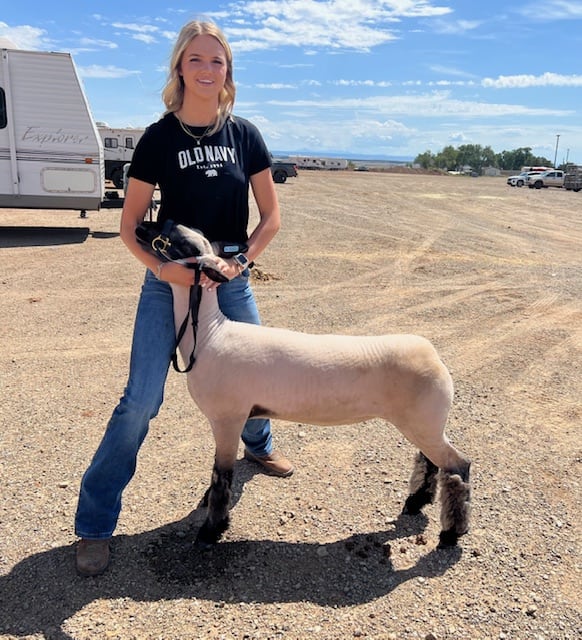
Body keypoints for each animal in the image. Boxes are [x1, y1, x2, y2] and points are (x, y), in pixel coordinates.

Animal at [143, 224, 474, 552]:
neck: (209, 336)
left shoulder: (228, 418)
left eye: (178, 240)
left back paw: (451, 532)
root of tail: (433, 355)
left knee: (458, 467)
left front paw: (211, 530)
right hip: (425, 423)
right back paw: (416, 502)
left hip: (423, 421)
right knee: (430, 462)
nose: (140, 227)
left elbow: (221, 476)